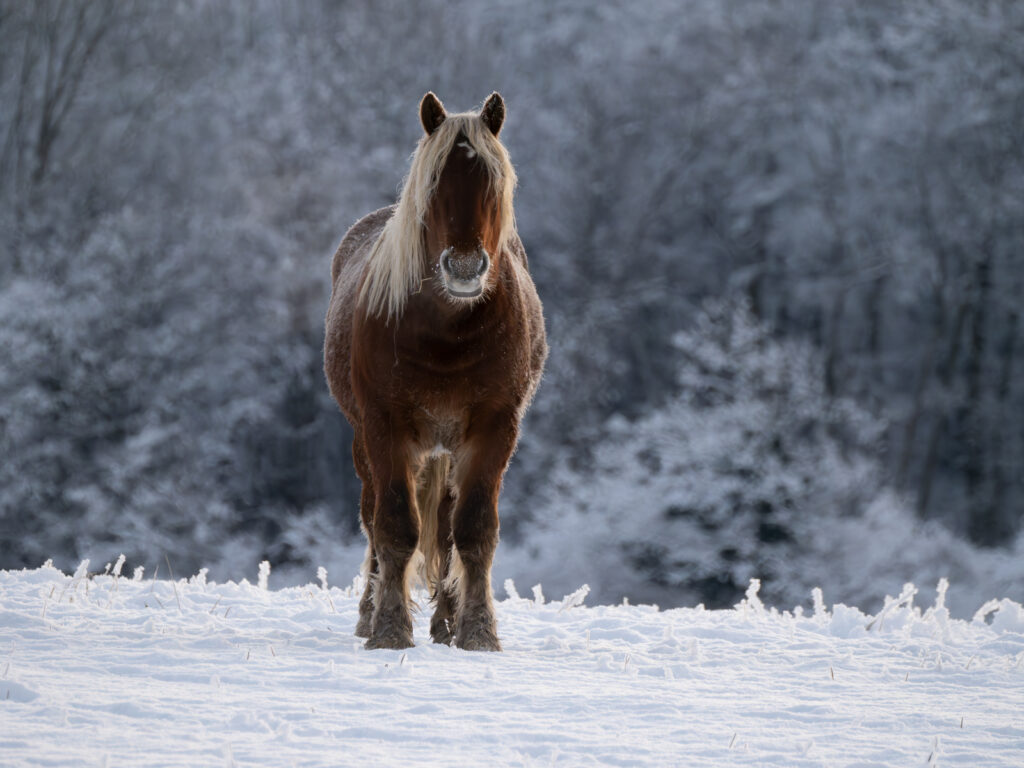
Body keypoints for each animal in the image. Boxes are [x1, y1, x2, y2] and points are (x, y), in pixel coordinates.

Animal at [323, 92, 547, 651]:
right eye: (434, 183)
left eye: (493, 181)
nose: (464, 268)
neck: (448, 330)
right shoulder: (384, 426)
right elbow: (395, 526)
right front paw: (388, 629)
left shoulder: (495, 428)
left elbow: (473, 531)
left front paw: (477, 632)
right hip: (368, 443)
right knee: (373, 518)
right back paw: (370, 613)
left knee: (444, 530)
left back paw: (445, 622)